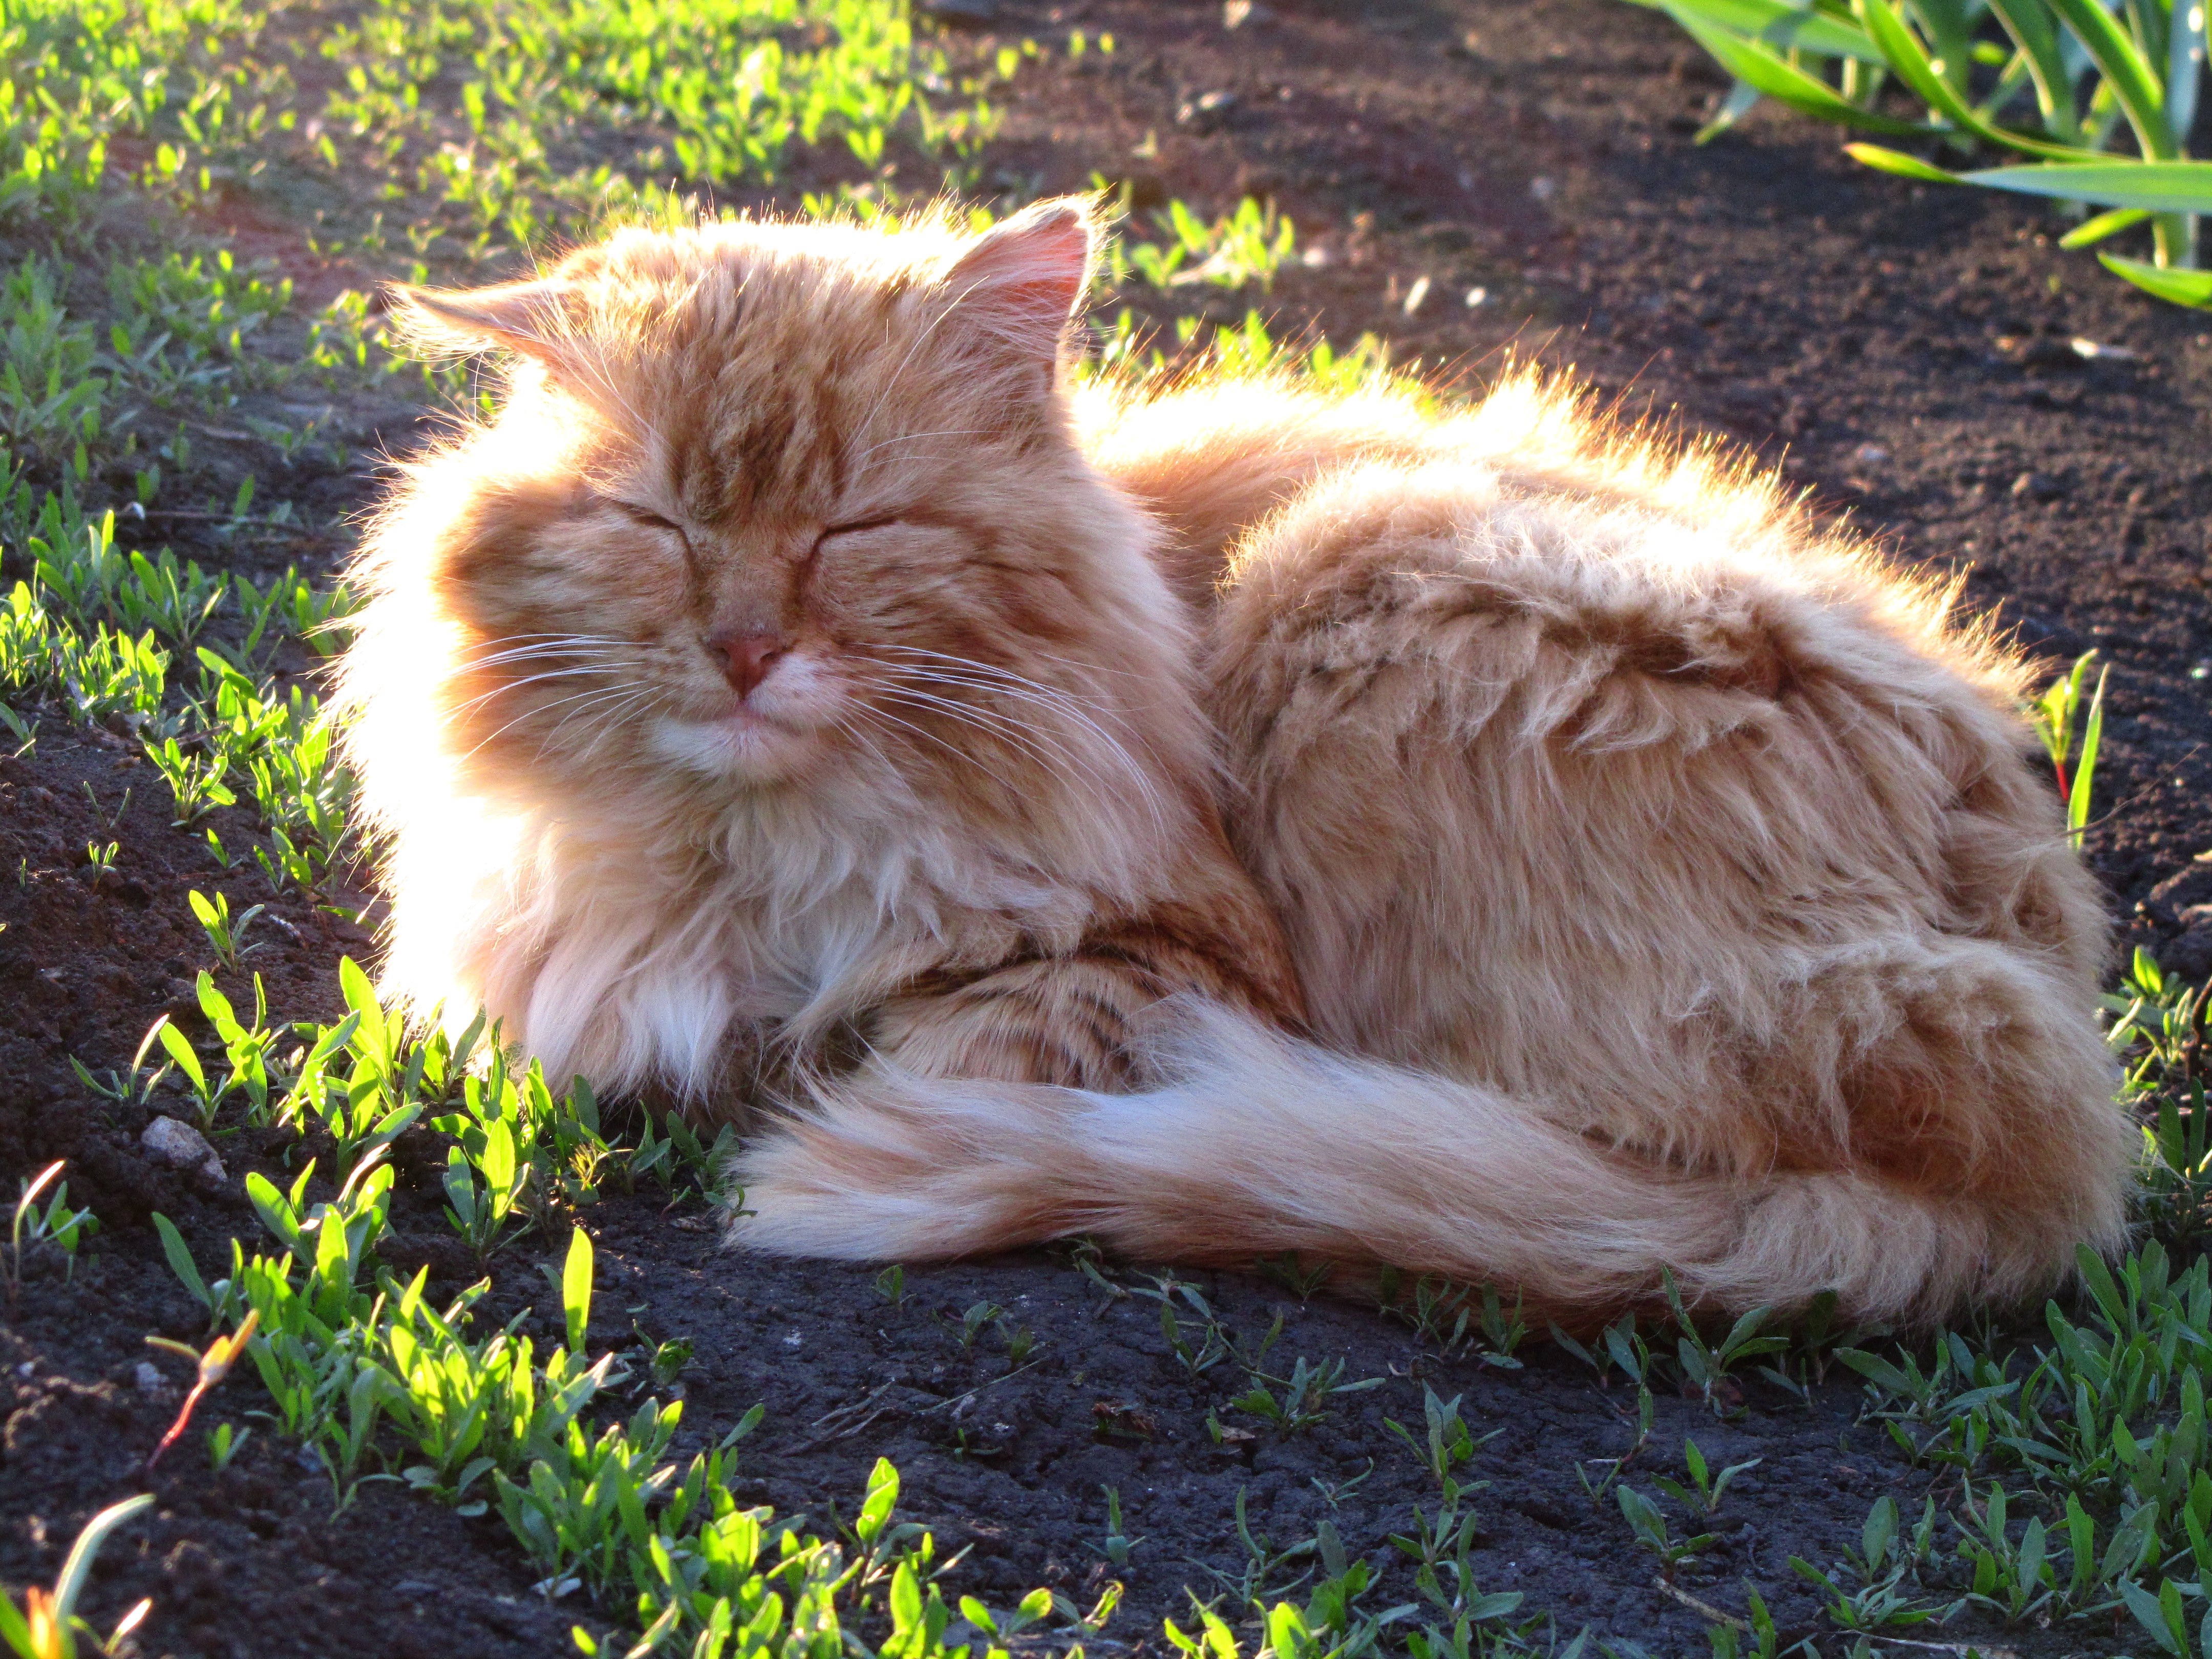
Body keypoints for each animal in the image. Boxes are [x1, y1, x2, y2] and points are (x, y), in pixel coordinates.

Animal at [341, 201, 2123, 1336]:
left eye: (858, 530)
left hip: (1360, 571)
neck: (752, 861)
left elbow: (924, 1054)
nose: (744, 647)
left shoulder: (1163, 963)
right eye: (658, 525)